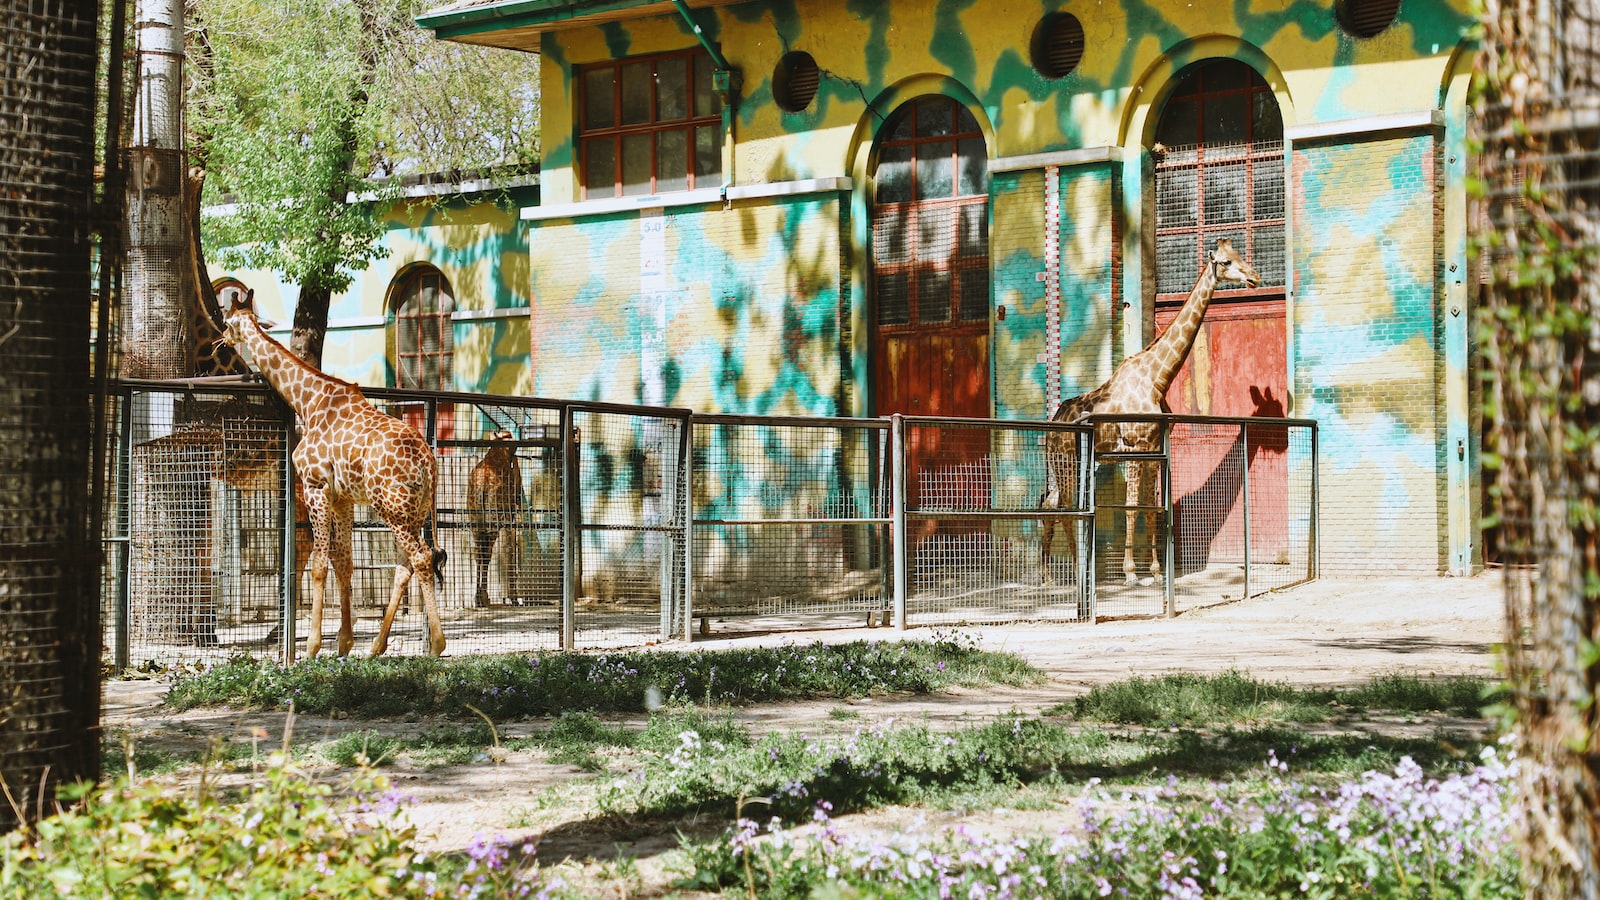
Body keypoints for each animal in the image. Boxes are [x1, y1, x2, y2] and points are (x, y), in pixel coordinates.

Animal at [217, 291, 444, 656]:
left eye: (227, 321)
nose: (222, 340)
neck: (308, 401)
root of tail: (428, 463)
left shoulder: (316, 486)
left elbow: (320, 564)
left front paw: (311, 647)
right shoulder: (343, 498)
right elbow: (344, 562)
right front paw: (344, 642)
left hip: (391, 506)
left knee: (421, 558)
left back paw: (436, 643)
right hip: (415, 509)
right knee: (404, 565)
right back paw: (376, 645)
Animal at [467, 432, 524, 605]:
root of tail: (482, 486)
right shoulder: (510, 516)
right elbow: (510, 549)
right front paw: (514, 597)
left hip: (475, 521)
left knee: (478, 552)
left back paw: (479, 598)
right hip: (494, 521)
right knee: (487, 553)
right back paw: (484, 597)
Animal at [1036, 235, 1260, 582]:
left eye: (1239, 255)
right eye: (1225, 262)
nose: (1254, 277)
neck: (1158, 379)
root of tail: (1055, 420)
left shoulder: (1155, 449)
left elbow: (1153, 508)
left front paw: (1155, 571)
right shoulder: (1134, 447)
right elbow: (1131, 509)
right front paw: (1130, 573)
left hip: (1065, 465)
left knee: (1050, 505)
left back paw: (1048, 576)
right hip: (1067, 461)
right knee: (1065, 509)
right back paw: (1075, 572)